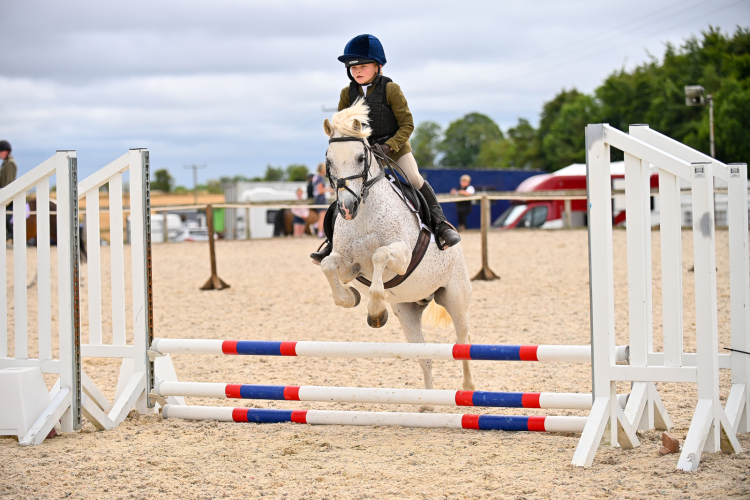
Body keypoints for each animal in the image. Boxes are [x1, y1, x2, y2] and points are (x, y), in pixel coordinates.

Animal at [319, 99, 475, 401]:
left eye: (360, 157)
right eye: (329, 161)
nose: (346, 208)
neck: (365, 212)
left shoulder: (401, 256)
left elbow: (379, 256)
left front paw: (376, 311)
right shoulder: (347, 263)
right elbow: (329, 266)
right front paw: (352, 298)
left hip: (456, 297)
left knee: (463, 340)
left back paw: (468, 390)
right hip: (408, 311)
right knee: (424, 356)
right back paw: (427, 405)